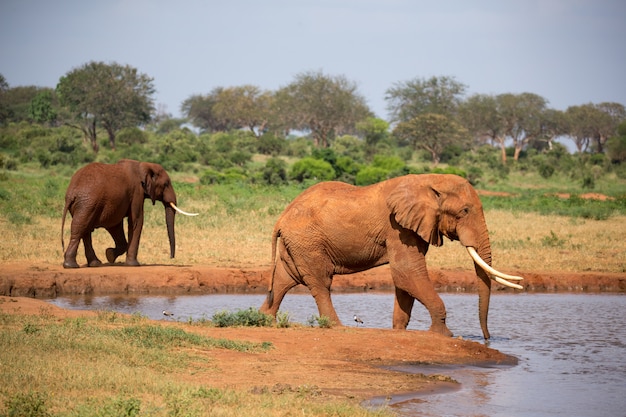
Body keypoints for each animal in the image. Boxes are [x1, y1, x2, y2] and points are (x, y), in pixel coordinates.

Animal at [60, 158, 197, 268]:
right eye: (166, 184)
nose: (171, 257)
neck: (143, 165)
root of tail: (71, 192)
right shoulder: (137, 191)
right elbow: (137, 221)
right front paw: (133, 265)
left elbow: (115, 225)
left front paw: (110, 255)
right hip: (88, 203)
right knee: (79, 229)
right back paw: (71, 265)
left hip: (85, 205)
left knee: (85, 231)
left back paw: (94, 264)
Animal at [258, 172, 520, 338]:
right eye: (464, 211)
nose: (487, 338)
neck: (428, 181)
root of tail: (281, 217)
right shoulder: (398, 228)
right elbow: (407, 273)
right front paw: (444, 335)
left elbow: (405, 281)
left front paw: (399, 331)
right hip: (308, 242)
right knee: (320, 283)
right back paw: (335, 326)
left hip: (296, 244)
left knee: (284, 279)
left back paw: (264, 320)